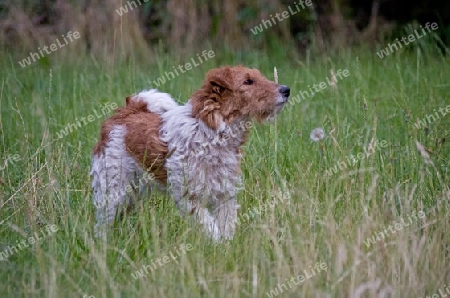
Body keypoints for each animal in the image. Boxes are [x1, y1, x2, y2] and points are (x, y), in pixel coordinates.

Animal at [89, 65, 290, 240]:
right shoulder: (188, 195)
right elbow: (210, 227)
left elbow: (225, 226)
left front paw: (227, 246)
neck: (211, 132)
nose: (286, 89)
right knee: (102, 225)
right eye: (248, 81)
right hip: (112, 190)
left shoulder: (225, 193)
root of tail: (126, 111)